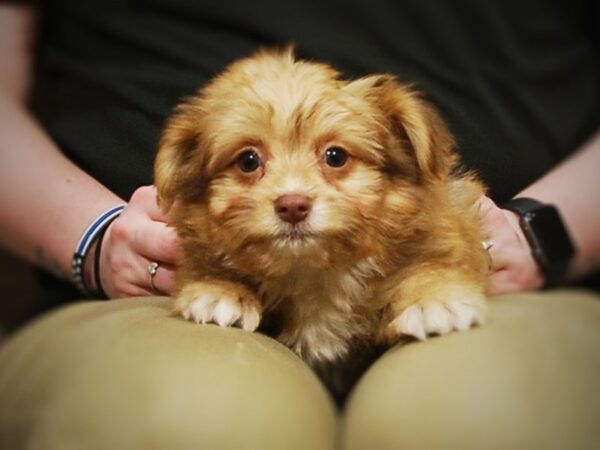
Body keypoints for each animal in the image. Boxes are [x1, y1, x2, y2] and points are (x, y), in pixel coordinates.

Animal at [154, 49, 488, 370]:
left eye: (335, 156)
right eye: (248, 160)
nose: (292, 205)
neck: (313, 270)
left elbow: (430, 267)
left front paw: (433, 299)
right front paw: (220, 290)